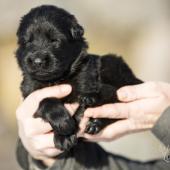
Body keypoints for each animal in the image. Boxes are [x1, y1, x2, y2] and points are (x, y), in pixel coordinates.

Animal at [15, 5, 141, 151]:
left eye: (54, 40)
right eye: (28, 41)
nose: (37, 61)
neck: (57, 79)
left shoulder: (85, 80)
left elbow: (80, 110)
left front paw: (64, 134)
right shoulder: (30, 93)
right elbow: (45, 100)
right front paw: (64, 127)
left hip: (111, 63)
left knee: (112, 93)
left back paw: (92, 103)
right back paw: (95, 123)